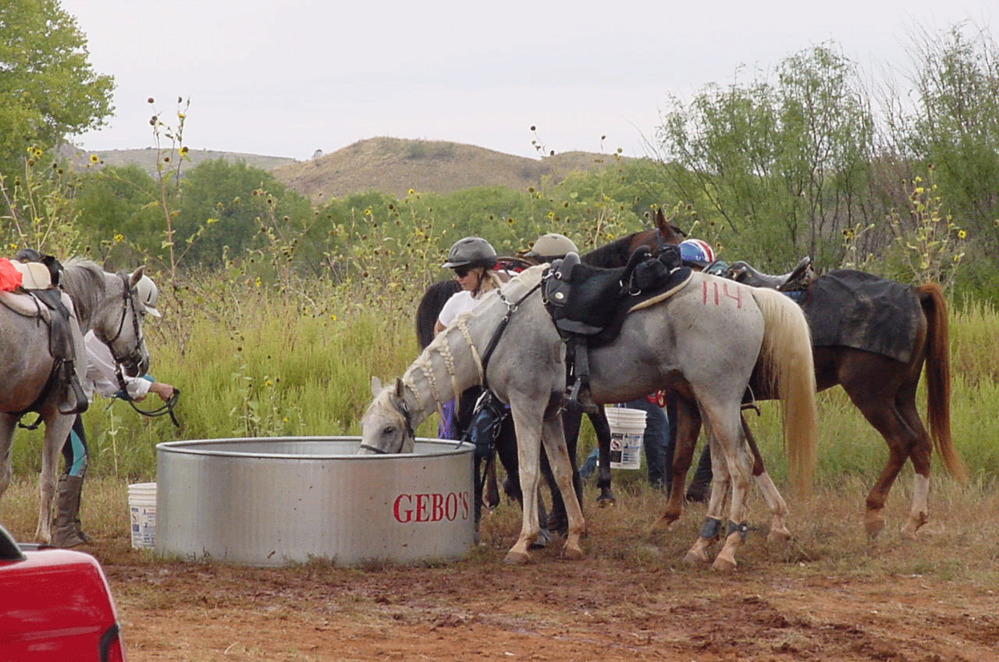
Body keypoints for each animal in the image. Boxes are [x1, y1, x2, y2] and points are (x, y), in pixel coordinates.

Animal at [0, 258, 152, 543]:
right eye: (141, 313)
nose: (142, 361)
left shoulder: (8, 414)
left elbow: (3, 477)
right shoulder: (61, 417)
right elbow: (48, 480)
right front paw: (44, 539)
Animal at [361, 264, 817, 569]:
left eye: (388, 428)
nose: (368, 464)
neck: (499, 326)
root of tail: (752, 296)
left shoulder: (526, 405)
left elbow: (529, 473)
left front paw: (524, 542)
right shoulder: (548, 412)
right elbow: (562, 473)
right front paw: (575, 538)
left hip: (719, 400)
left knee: (740, 468)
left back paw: (727, 550)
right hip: (707, 402)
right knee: (726, 469)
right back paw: (703, 544)